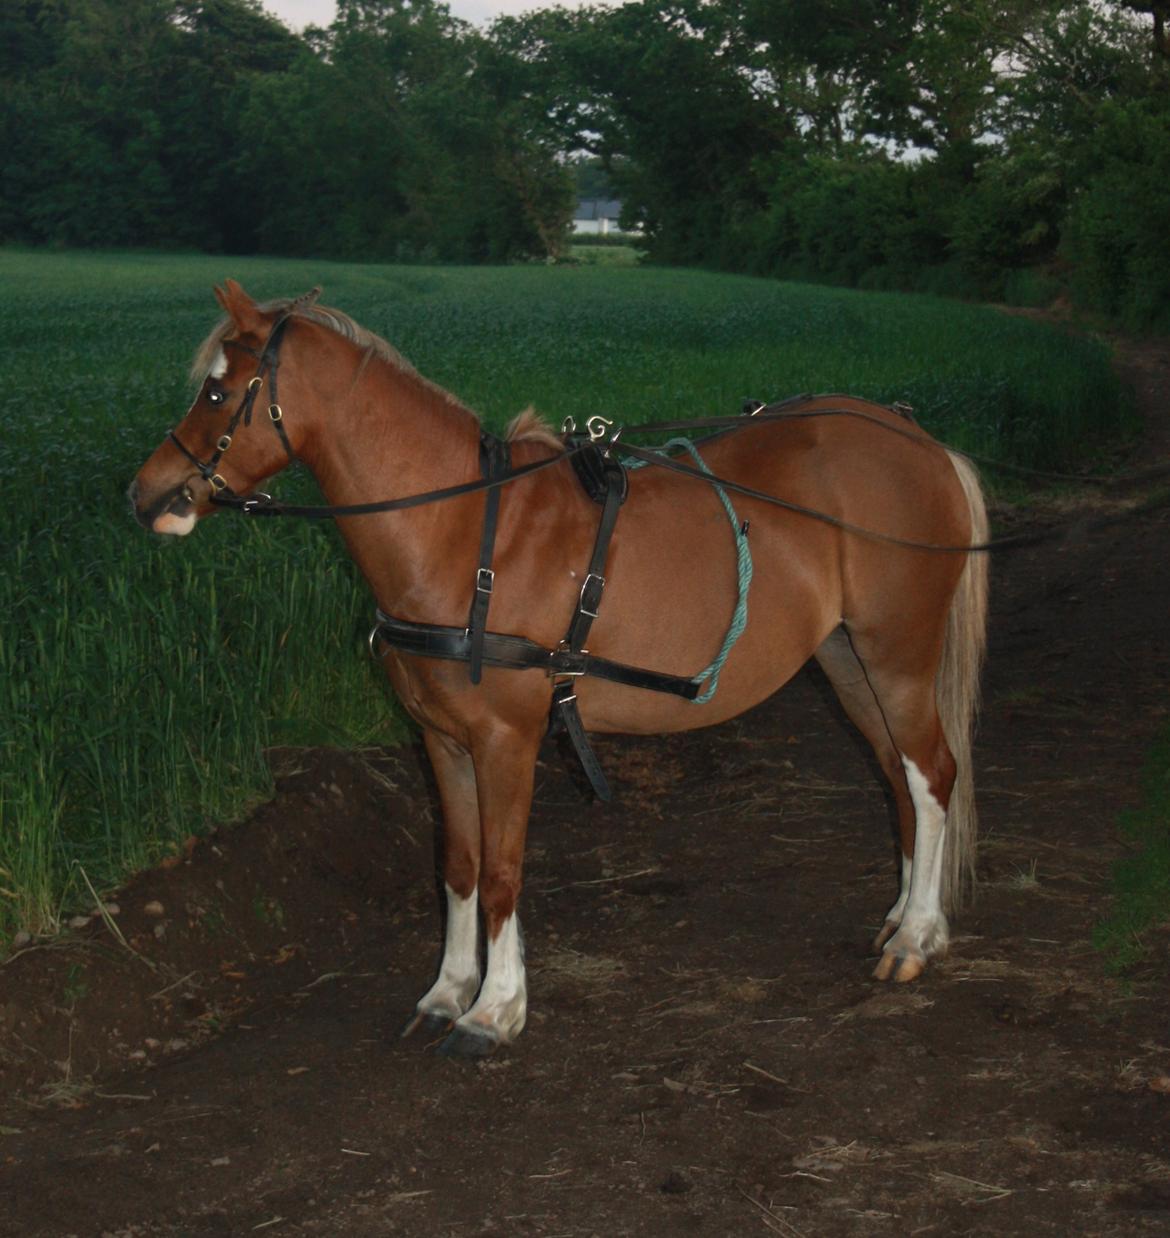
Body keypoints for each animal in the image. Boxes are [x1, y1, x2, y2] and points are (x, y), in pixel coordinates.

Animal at [127, 281, 985, 1054]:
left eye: (217, 390)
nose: (144, 495)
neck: (466, 536)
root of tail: (920, 442)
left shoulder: (507, 739)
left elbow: (504, 871)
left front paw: (494, 1011)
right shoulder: (442, 741)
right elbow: (461, 865)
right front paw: (446, 992)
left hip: (898, 655)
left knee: (932, 776)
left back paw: (917, 937)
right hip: (847, 660)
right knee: (898, 779)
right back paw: (903, 919)